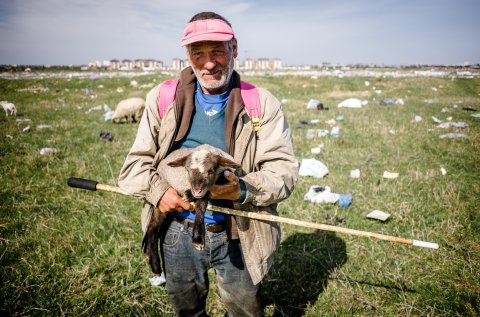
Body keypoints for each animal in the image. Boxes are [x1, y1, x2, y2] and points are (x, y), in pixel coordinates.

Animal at [142, 143, 240, 274]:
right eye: (188, 171)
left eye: (210, 171)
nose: (196, 190)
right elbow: (201, 203)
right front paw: (198, 240)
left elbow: (202, 202)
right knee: (152, 230)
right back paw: (155, 265)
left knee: (152, 229)